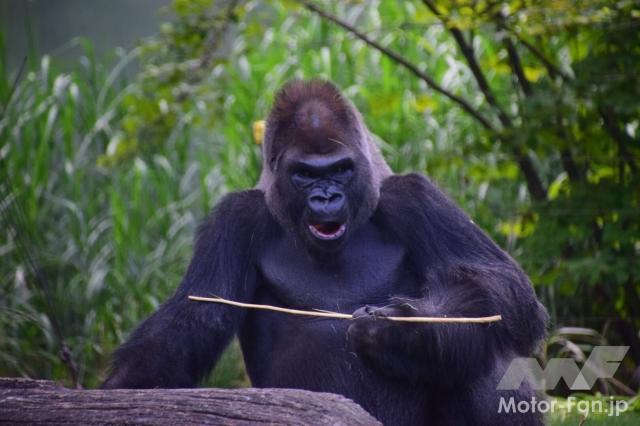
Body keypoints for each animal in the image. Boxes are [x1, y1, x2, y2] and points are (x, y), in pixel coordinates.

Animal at [102, 80, 548, 426]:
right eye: (305, 174)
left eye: (339, 169)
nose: (326, 197)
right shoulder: (234, 219)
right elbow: (195, 318)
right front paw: (120, 388)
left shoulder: (414, 197)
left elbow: (499, 284)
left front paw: (407, 334)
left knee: (483, 350)